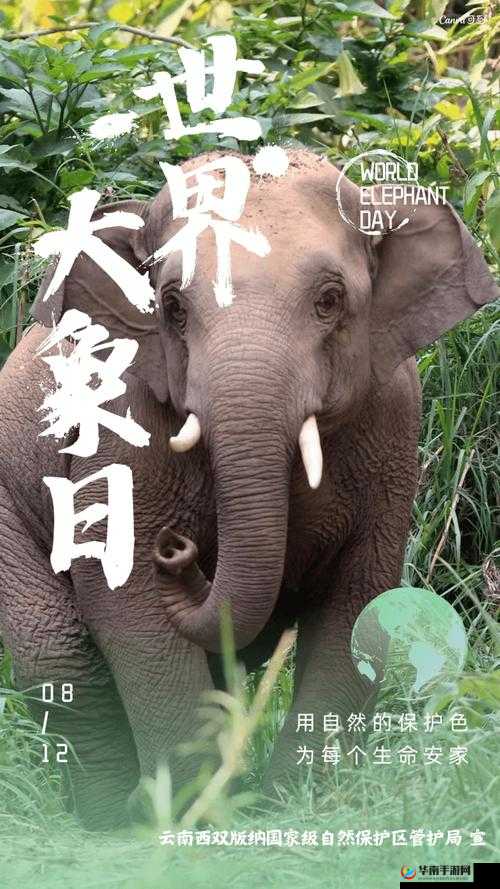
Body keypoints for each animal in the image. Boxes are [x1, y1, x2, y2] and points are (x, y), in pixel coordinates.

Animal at [0, 149, 497, 829]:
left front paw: (297, 807)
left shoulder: (395, 421)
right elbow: (122, 596)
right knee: (58, 651)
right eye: (173, 307)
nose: (176, 550)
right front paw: (192, 814)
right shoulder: (122, 424)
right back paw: (110, 820)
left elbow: (359, 601)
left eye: (330, 299)